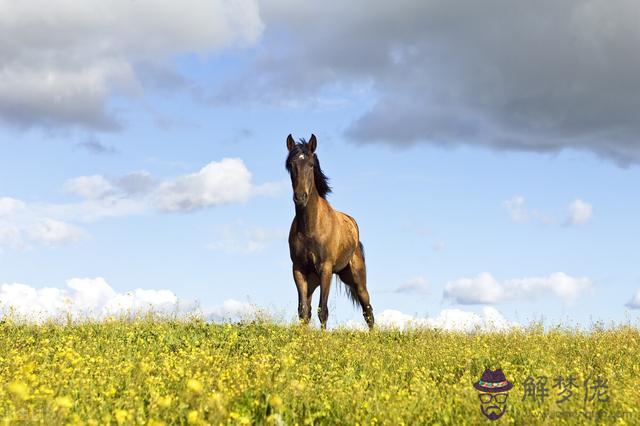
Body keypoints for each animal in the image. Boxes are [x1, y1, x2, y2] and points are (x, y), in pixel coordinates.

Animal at [286, 133, 376, 330]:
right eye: (291, 165)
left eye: (311, 164)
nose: (300, 197)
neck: (310, 227)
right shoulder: (298, 270)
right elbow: (303, 311)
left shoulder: (325, 269)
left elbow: (323, 311)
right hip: (312, 281)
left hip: (357, 280)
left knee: (368, 311)